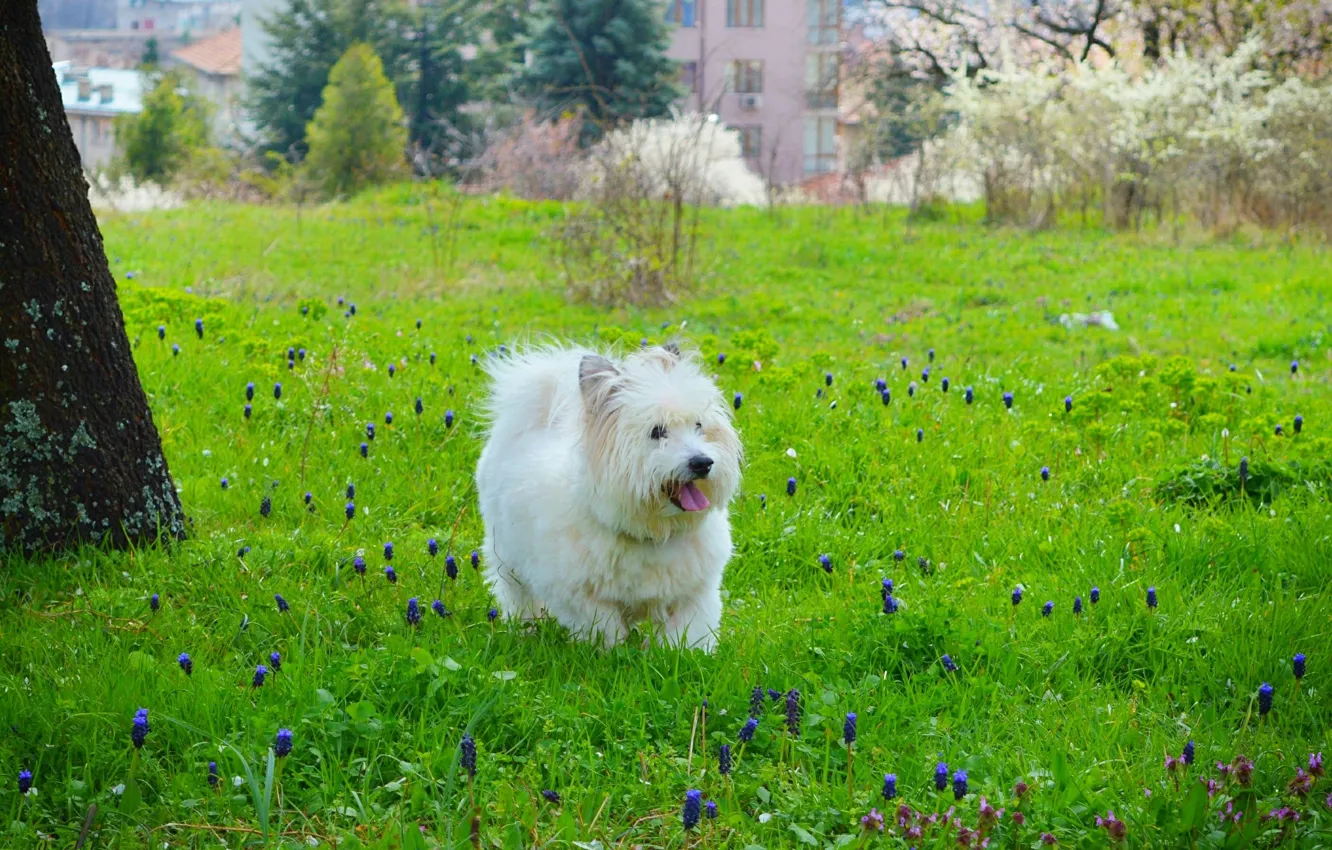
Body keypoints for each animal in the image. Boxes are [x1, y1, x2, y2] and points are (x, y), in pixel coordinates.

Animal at [476, 346, 751, 652]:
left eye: (699, 426)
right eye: (657, 432)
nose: (702, 462)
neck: (653, 531)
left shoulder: (694, 594)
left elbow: (688, 634)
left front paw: (683, 655)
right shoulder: (583, 599)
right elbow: (605, 630)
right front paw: (613, 655)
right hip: (506, 556)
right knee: (518, 595)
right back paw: (526, 628)